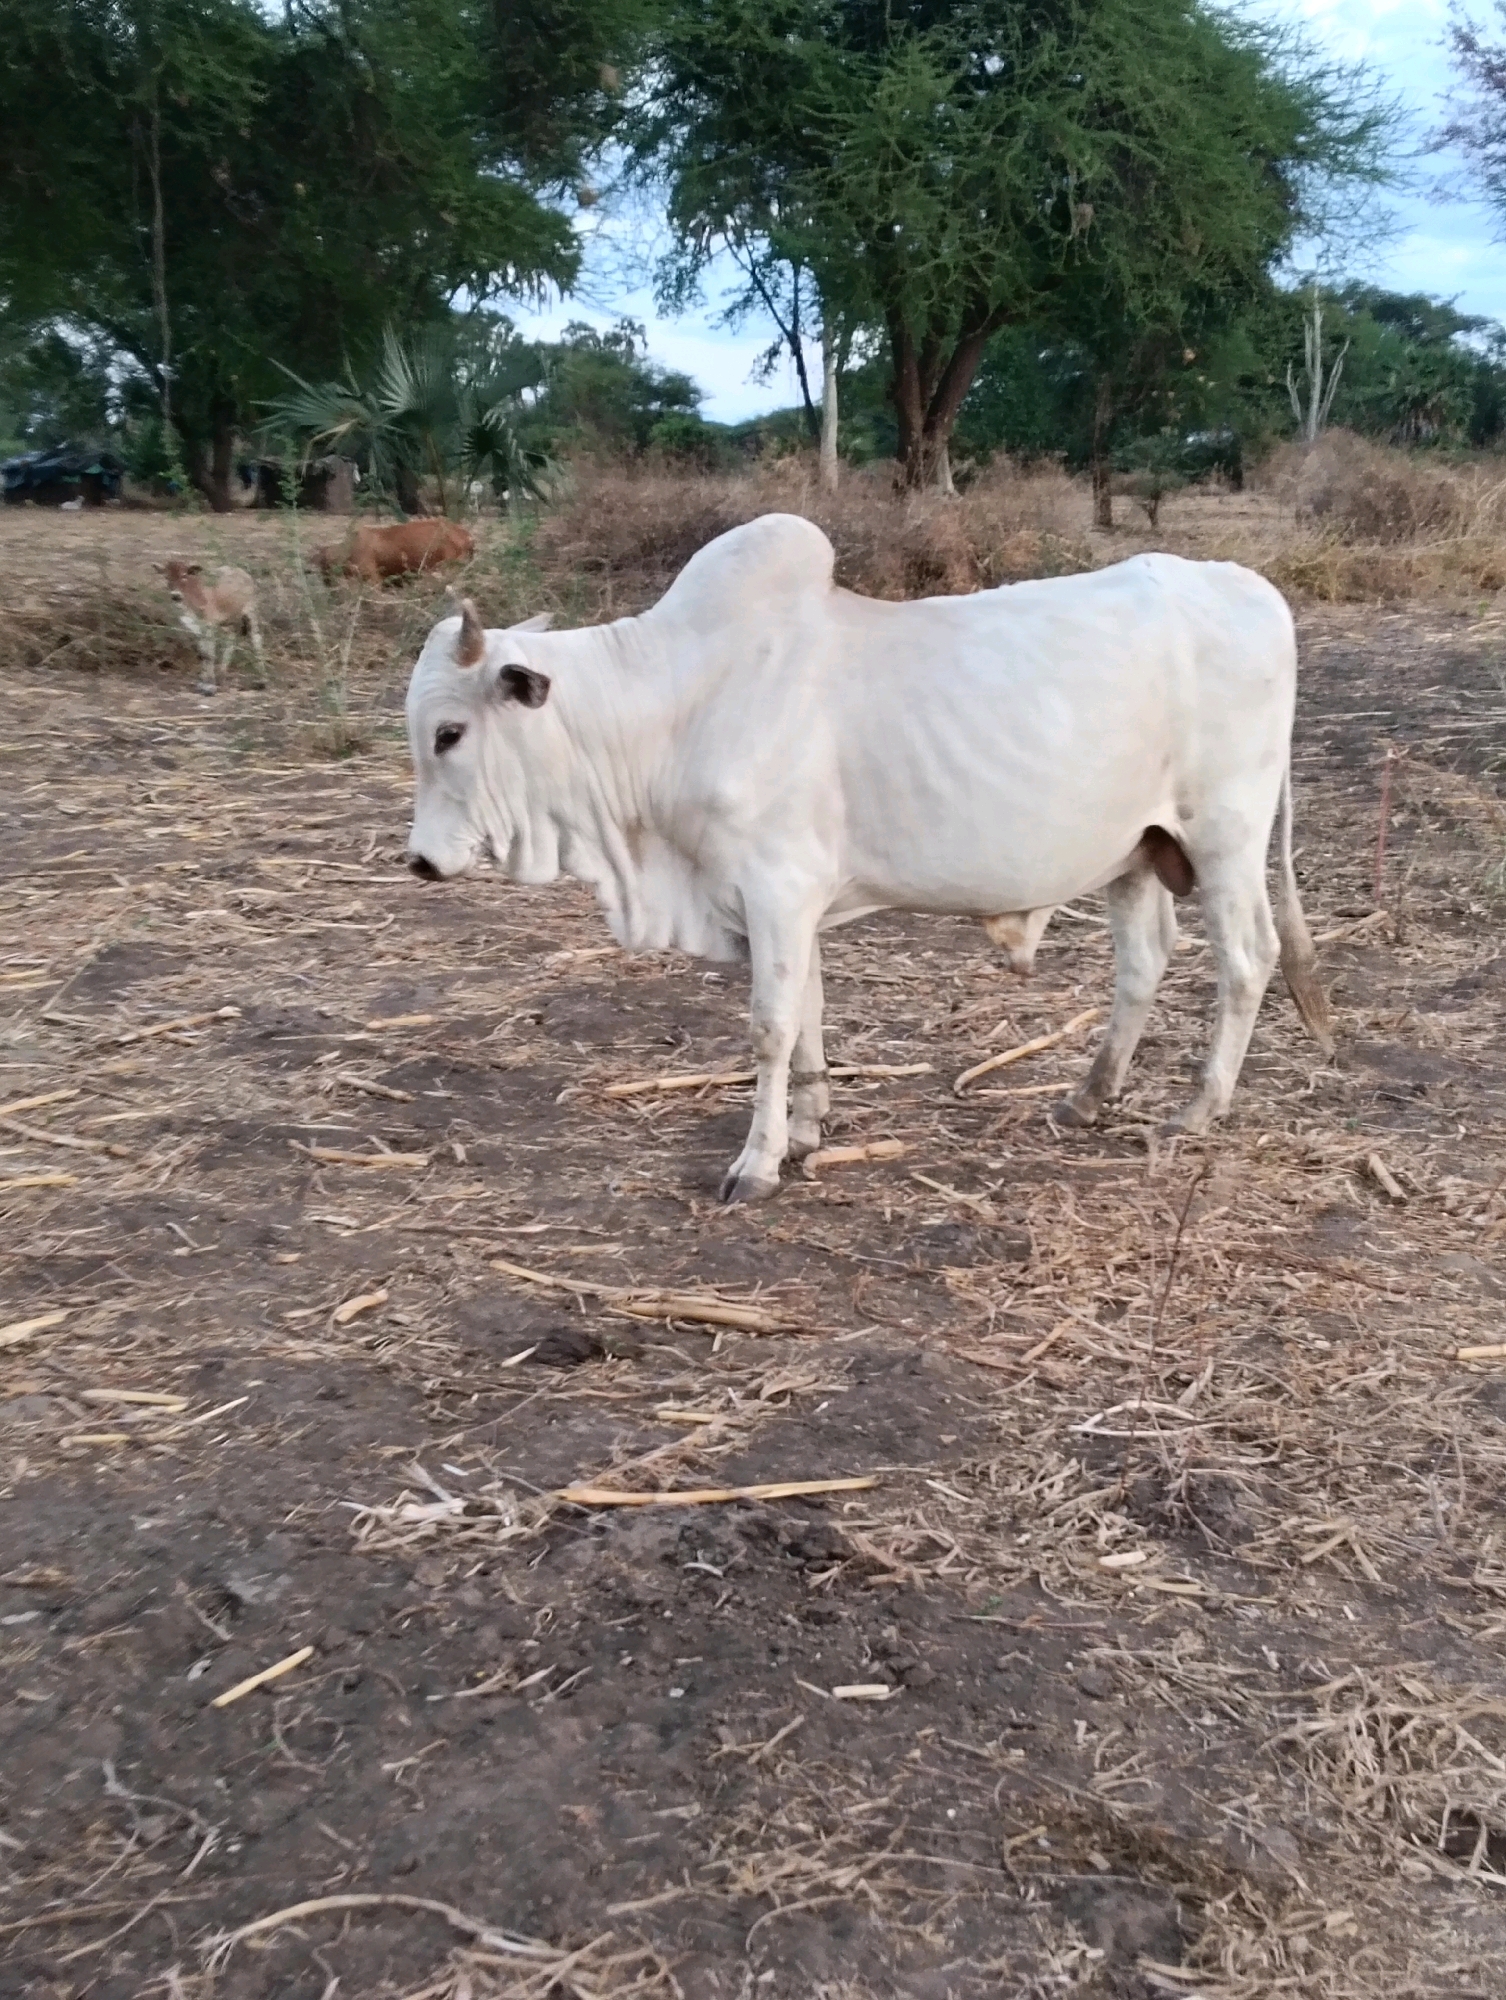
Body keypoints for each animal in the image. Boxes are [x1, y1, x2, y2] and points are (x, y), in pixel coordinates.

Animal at [154, 560, 263, 695]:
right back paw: (222, 674)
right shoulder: (195, 628)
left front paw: (210, 686)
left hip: (251, 611)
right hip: (230, 620)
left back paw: (261, 680)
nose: (175, 596)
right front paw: (202, 683)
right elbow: (202, 654)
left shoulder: (209, 625)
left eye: (184, 575)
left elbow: (209, 655)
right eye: (167, 577)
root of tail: (243, 573)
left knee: (256, 639)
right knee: (230, 640)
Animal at [402, 515, 1333, 1203]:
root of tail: (1252, 588)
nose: (419, 863)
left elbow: (770, 1027)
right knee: (1144, 963)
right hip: (1138, 851)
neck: (679, 704)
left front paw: (756, 1164)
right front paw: (808, 1129)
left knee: (1248, 959)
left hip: (1226, 835)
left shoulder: (776, 889)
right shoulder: (790, 906)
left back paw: (1196, 1110)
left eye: (449, 732)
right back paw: (1086, 1098)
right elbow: (809, 1015)